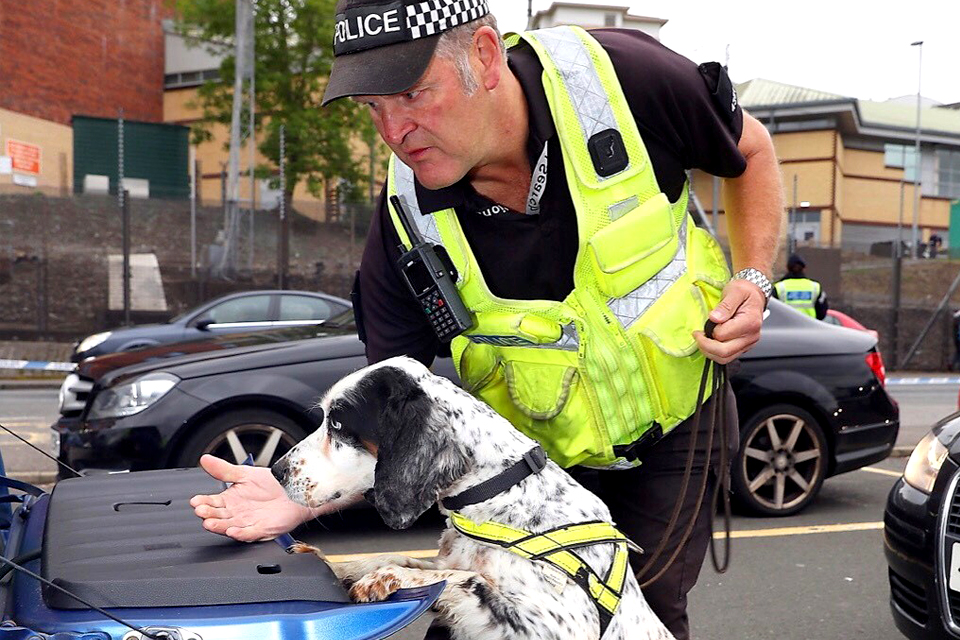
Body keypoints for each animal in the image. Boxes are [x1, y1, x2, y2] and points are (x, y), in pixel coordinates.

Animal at [272, 358, 676, 636]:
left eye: (338, 424)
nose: (276, 470)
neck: (498, 490)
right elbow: (396, 556)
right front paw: (330, 563)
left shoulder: (556, 624)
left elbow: (461, 578)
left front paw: (385, 579)